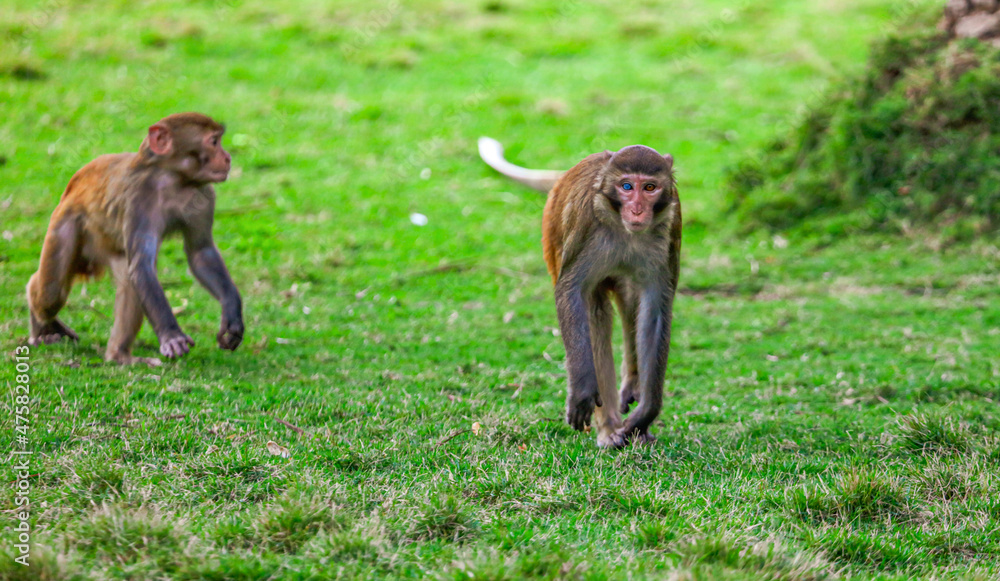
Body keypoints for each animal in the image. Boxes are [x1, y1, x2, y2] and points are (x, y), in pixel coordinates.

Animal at [26, 112, 242, 364]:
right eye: (214, 142)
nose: (227, 157)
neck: (174, 180)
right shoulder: (138, 199)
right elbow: (142, 266)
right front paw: (171, 336)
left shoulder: (205, 196)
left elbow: (201, 253)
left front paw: (232, 313)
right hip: (64, 223)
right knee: (51, 293)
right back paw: (41, 325)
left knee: (128, 282)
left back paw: (118, 356)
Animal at [476, 138, 680, 446]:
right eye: (626, 186)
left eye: (649, 188)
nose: (636, 210)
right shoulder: (587, 225)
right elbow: (571, 291)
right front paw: (583, 391)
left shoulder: (669, 229)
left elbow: (655, 309)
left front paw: (646, 412)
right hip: (552, 238)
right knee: (595, 311)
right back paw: (608, 429)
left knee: (631, 300)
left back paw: (633, 389)